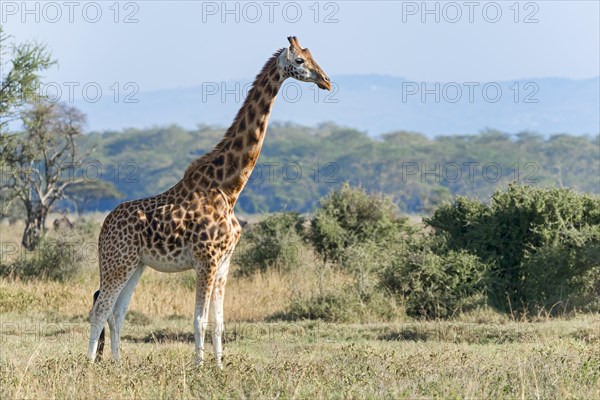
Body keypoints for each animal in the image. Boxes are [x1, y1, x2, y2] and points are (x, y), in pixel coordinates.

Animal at [86, 36, 330, 368]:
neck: (229, 189)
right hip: (117, 262)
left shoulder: (225, 262)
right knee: (99, 309)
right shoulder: (206, 259)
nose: (326, 81)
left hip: (135, 265)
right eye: (301, 61)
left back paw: (118, 365)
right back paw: (88, 366)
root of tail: (104, 227)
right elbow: (199, 320)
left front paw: (219, 367)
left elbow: (219, 322)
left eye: (312, 55)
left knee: (117, 313)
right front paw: (200, 368)